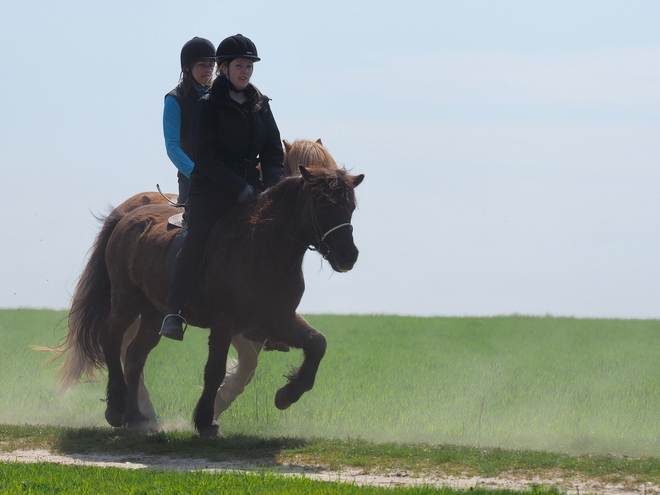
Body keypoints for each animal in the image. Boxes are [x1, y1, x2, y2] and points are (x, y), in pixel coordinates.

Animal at [59, 168, 364, 438]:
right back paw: (117, 409)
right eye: (323, 205)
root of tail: (126, 216)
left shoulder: (278, 320)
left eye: (351, 207)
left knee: (135, 355)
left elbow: (317, 343)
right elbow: (214, 370)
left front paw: (288, 394)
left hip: (153, 313)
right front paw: (206, 421)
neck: (262, 249)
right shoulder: (224, 324)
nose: (348, 256)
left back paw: (136, 417)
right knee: (110, 339)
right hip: (126, 301)